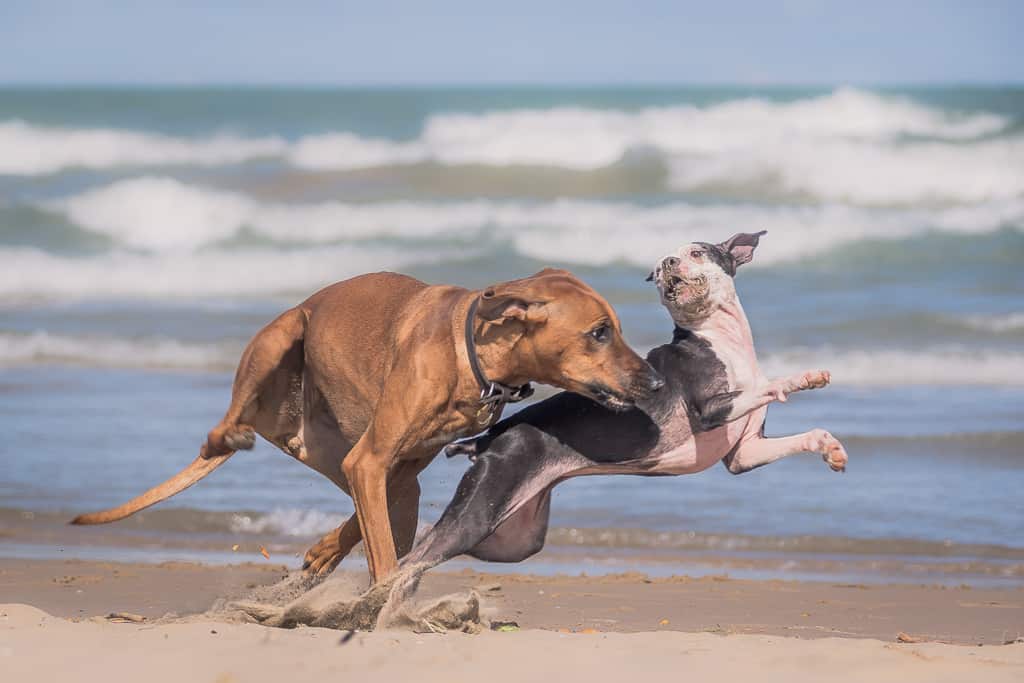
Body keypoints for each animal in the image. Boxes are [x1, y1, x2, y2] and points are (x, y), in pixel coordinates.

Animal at [72, 270, 663, 581]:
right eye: (600, 332)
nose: (656, 382)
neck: (472, 354)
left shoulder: (390, 466)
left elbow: (370, 523)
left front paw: (327, 550)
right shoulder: (372, 459)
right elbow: (380, 554)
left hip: (334, 453)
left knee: (381, 506)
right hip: (283, 336)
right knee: (219, 429)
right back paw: (232, 434)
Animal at [387, 232, 843, 602]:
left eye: (697, 252)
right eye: (658, 268)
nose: (669, 264)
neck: (719, 340)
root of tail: (486, 439)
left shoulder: (743, 454)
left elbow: (801, 436)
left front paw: (830, 447)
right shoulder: (710, 411)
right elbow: (763, 386)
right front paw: (801, 378)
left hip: (512, 538)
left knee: (425, 548)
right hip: (482, 511)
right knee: (415, 557)